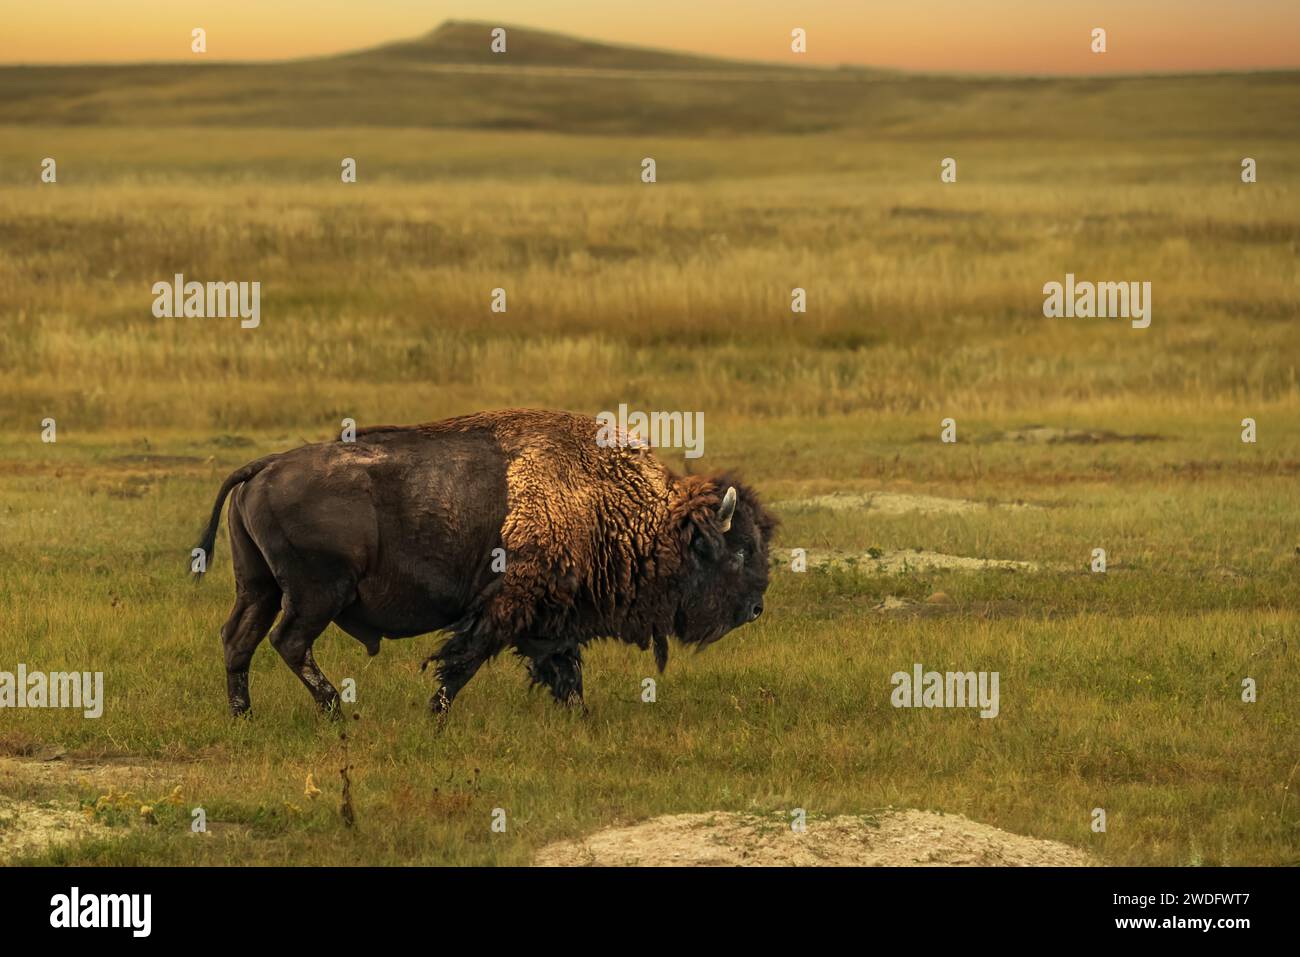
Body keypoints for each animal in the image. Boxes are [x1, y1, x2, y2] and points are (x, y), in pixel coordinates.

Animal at [195, 408, 769, 717]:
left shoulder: (550, 618)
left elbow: (562, 668)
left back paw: (245, 716)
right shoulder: (508, 605)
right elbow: (464, 662)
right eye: (739, 550)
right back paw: (337, 711)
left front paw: (580, 717)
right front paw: (434, 716)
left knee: (239, 639)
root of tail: (265, 465)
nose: (756, 608)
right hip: (316, 594)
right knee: (288, 642)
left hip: (259, 586)